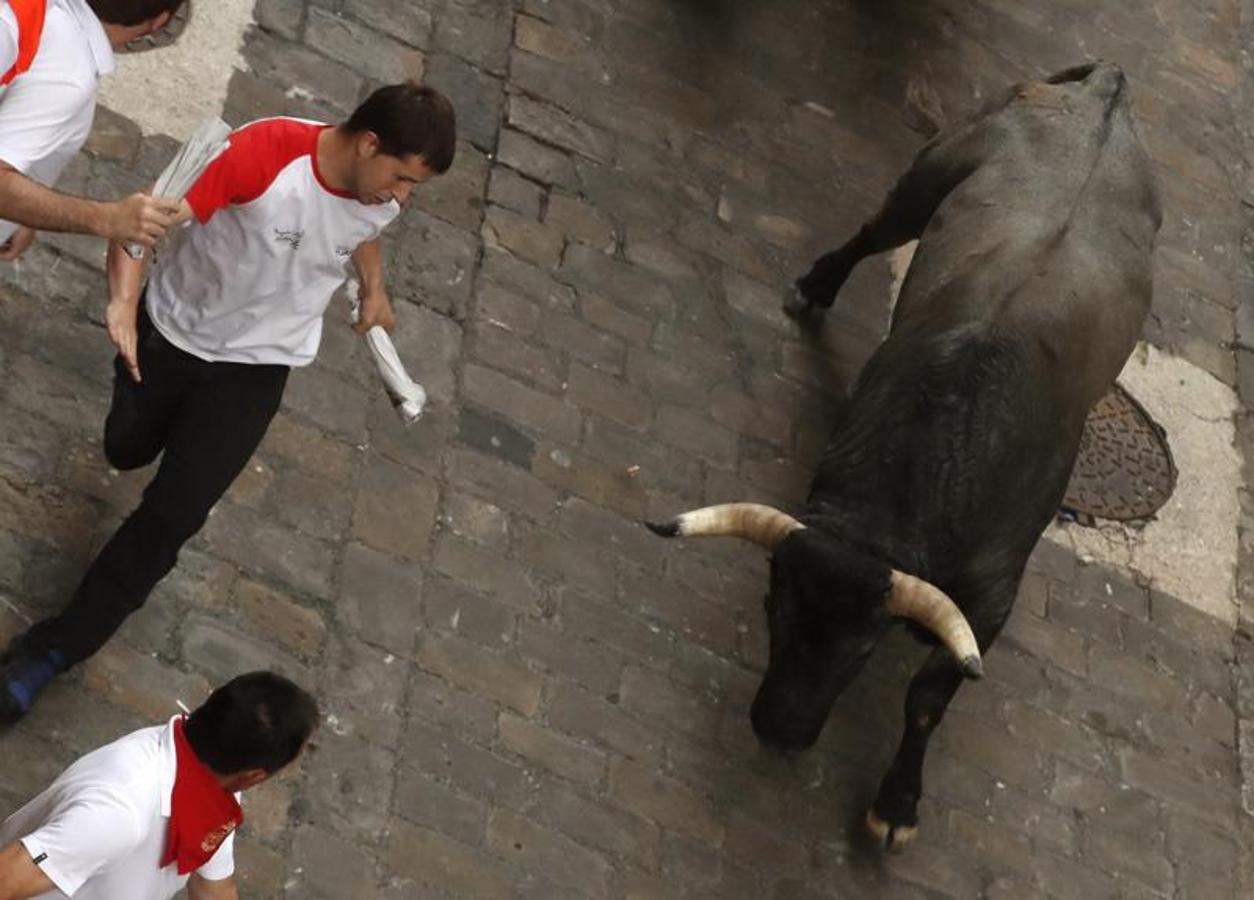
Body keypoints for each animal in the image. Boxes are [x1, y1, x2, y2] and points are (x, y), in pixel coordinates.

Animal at [652, 65, 1158, 852]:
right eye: (773, 607)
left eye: (863, 651)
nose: (779, 729)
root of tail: (1104, 90)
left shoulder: (992, 600)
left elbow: (925, 700)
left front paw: (895, 806)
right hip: (925, 181)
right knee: (874, 229)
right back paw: (814, 289)